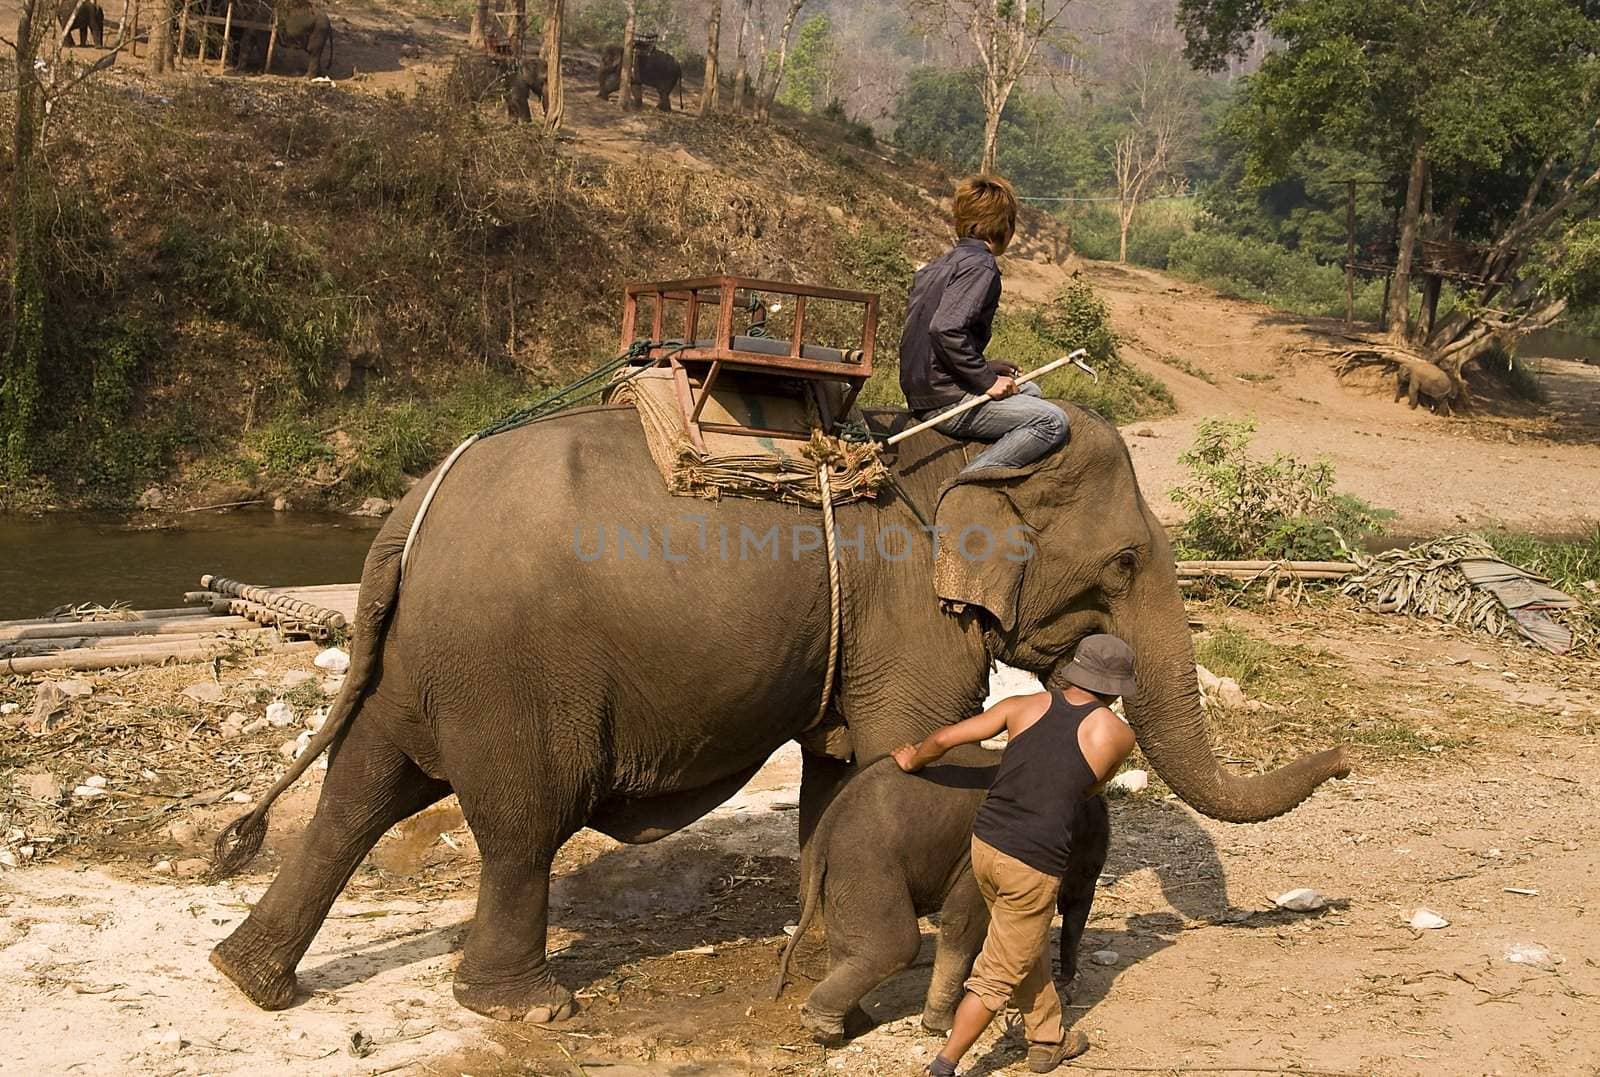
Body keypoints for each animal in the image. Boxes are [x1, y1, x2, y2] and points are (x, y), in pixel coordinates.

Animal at [777, 748, 1113, 1043]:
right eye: (1086, 869)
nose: (1066, 982)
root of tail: (826, 826)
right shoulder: (984, 853)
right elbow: (963, 921)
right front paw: (941, 1027)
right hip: (866, 866)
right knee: (895, 946)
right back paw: (824, 1028)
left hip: (841, 878)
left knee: (847, 949)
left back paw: (855, 1025)